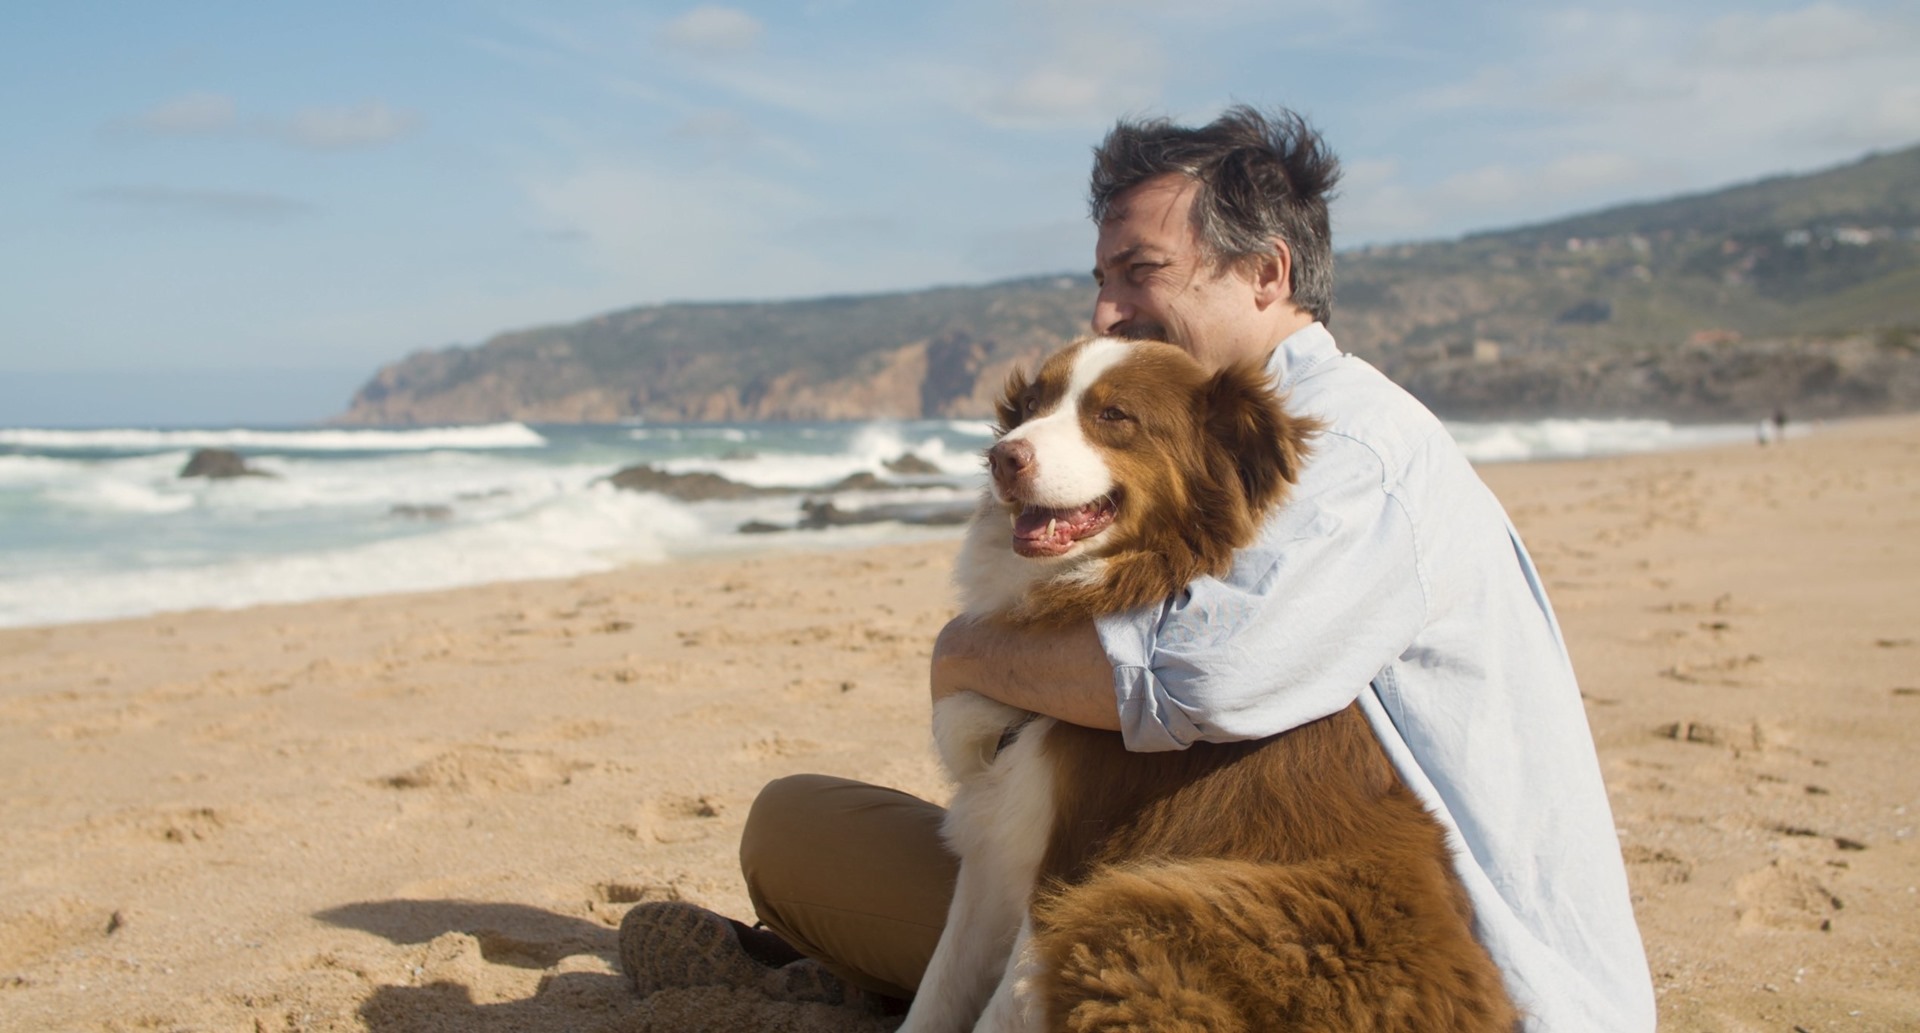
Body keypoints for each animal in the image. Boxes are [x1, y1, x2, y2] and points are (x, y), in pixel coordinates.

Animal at [898, 337, 1512, 1029]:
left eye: (1114, 415)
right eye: (1033, 404)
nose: (1003, 457)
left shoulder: (1071, 859)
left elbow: (998, 1008)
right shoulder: (993, 836)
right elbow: (939, 988)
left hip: (1130, 909)